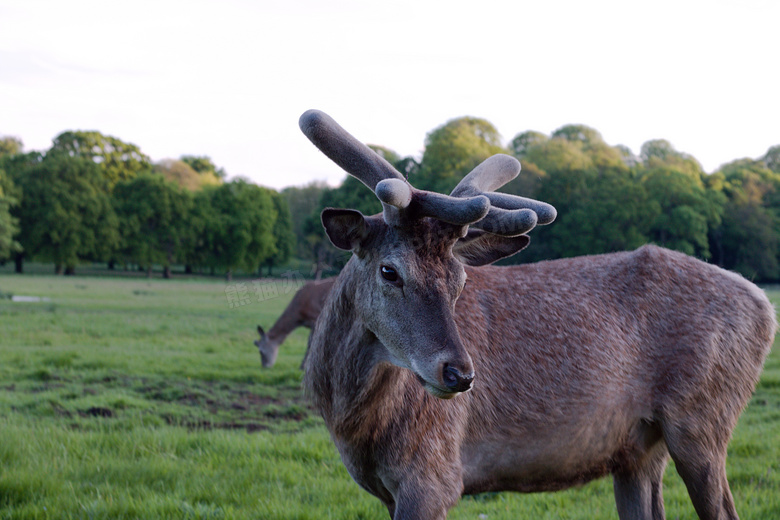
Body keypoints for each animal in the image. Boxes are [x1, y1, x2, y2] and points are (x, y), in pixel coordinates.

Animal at [298, 109, 772, 520]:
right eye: (389, 270)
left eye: (460, 279)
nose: (459, 374)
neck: (352, 425)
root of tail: (765, 305)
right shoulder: (387, 490)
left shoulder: (433, 475)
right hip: (638, 449)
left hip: (702, 420)